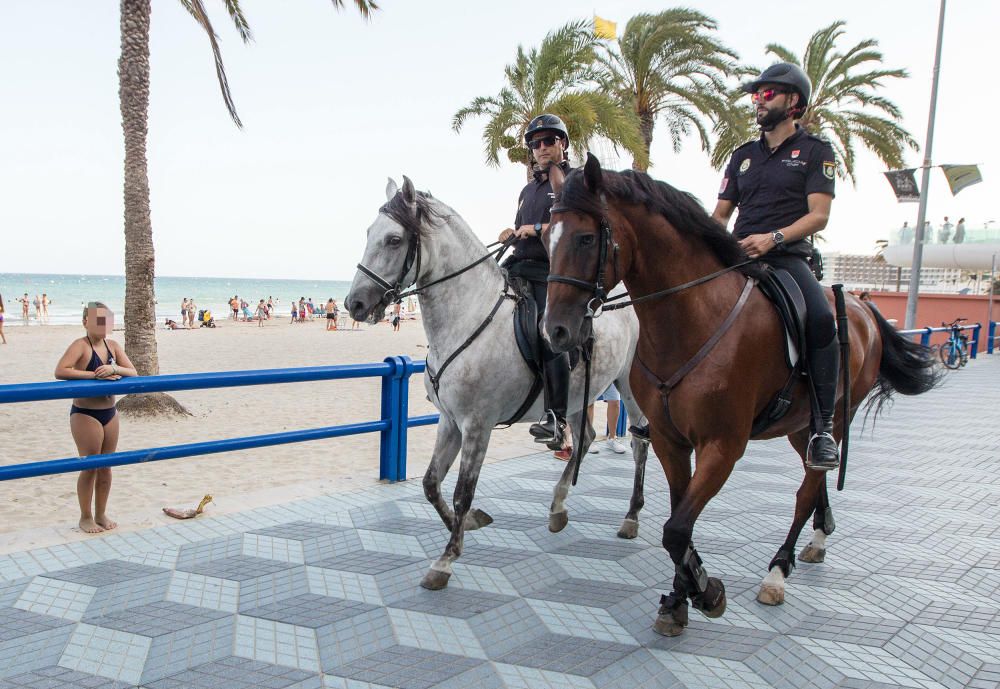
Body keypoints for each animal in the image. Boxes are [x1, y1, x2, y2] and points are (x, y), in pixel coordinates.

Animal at [348, 176, 652, 584]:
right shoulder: (450, 421)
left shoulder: (478, 425)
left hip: (630, 386)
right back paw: (558, 507)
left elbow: (462, 492)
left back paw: (631, 516)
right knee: (585, 438)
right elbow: (431, 484)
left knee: (639, 441)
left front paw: (445, 559)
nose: (354, 304)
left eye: (394, 240)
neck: (468, 313)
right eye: (369, 233)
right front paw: (467, 526)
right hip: (575, 397)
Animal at [540, 155, 936, 636]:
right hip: (800, 426)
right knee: (816, 478)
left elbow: (677, 529)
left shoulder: (723, 446)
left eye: (585, 237)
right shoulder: (672, 442)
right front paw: (679, 598)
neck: (692, 320)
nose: (555, 331)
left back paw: (778, 571)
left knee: (808, 487)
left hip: (836, 417)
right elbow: (679, 521)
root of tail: (862, 306)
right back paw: (820, 536)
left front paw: (706, 591)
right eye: (546, 238)